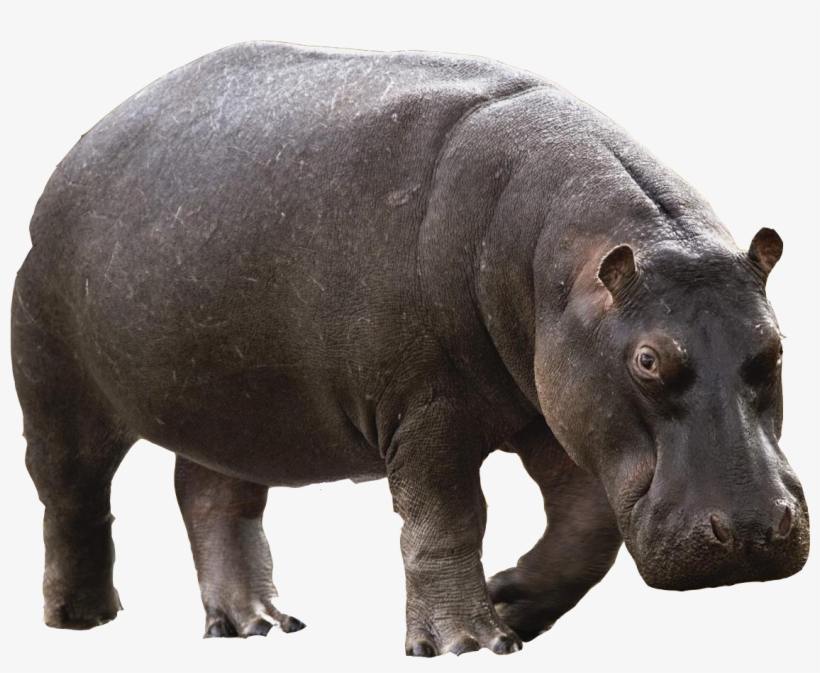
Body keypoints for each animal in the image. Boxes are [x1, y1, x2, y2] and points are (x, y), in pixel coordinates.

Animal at [11, 41, 809, 657]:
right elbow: (448, 519)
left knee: (212, 497)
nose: (750, 530)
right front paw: (468, 642)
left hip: (231, 406)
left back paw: (257, 625)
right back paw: (82, 618)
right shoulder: (427, 412)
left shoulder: (555, 408)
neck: (561, 264)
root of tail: (79, 149)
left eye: (775, 346)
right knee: (72, 496)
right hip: (58, 386)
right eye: (648, 361)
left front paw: (510, 602)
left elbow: (586, 527)